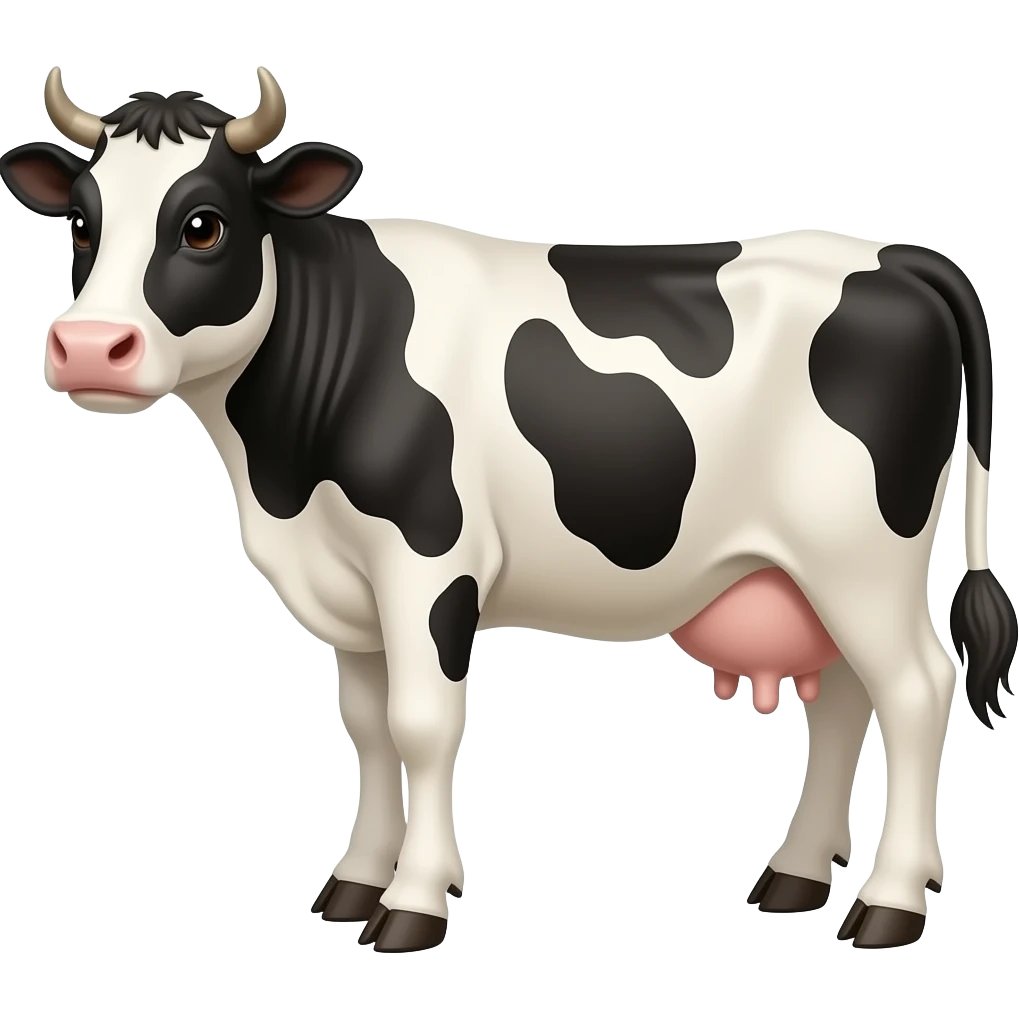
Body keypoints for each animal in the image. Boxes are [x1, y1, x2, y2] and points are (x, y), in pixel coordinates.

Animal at [2, 66, 1015, 954]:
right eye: (82, 223)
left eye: (204, 225)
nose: (89, 347)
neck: (284, 470)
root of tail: (888, 254)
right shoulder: (353, 586)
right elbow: (366, 724)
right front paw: (354, 884)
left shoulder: (427, 560)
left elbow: (420, 723)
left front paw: (411, 904)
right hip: (811, 568)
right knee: (845, 696)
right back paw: (796, 876)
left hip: (861, 553)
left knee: (915, 689)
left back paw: (889, 905)